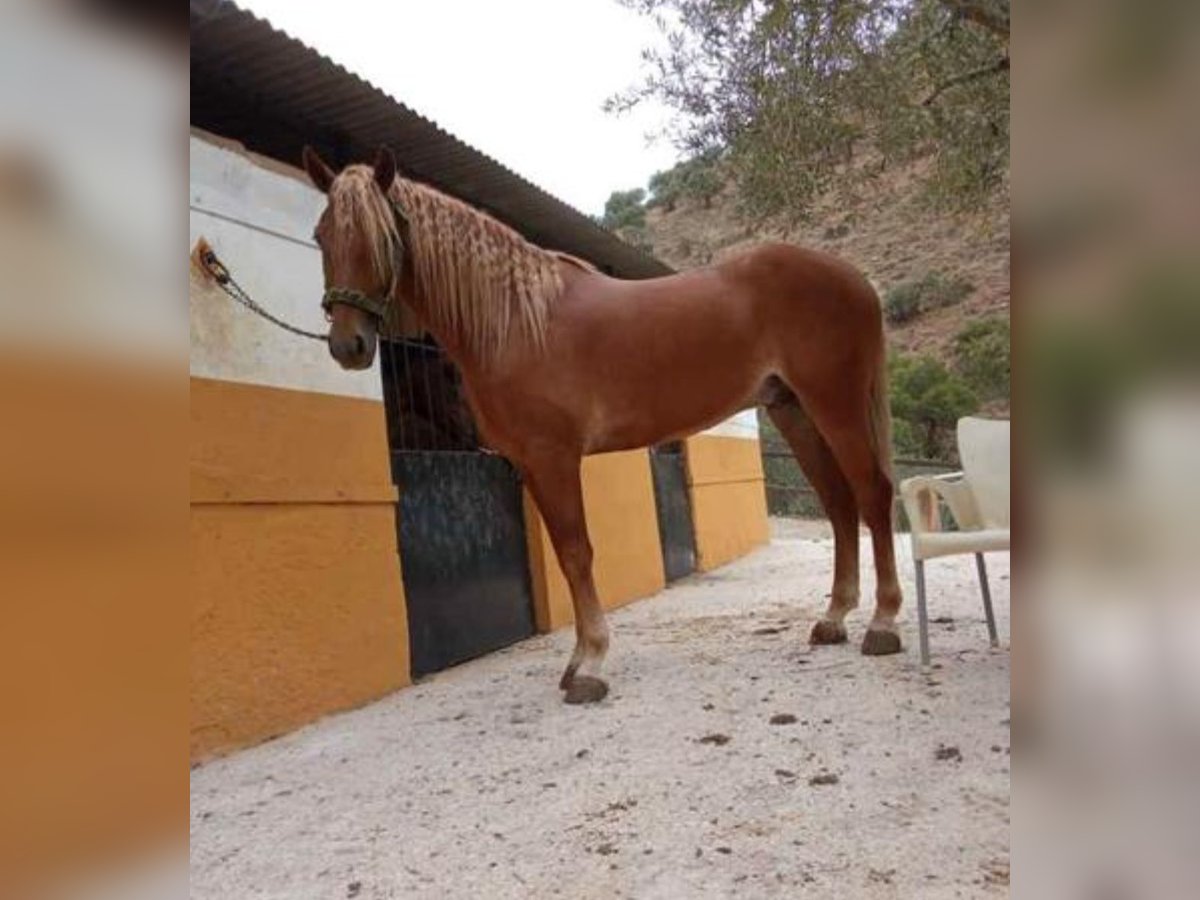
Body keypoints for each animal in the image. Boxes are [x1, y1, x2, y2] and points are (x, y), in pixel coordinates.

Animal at [300, 146, 902, 705]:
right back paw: (834, 620)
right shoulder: (529, 463)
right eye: (321, 235)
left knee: (872, 493)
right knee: (839, 504)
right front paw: (577, 662)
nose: (349, 345)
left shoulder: (554, 456)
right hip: (793, 409)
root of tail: (855, 279)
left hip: (834, 403)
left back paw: (882, 624)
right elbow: (566, 555)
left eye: (383, 239)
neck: (518, 322)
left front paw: (589, 664)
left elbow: (576, 551)